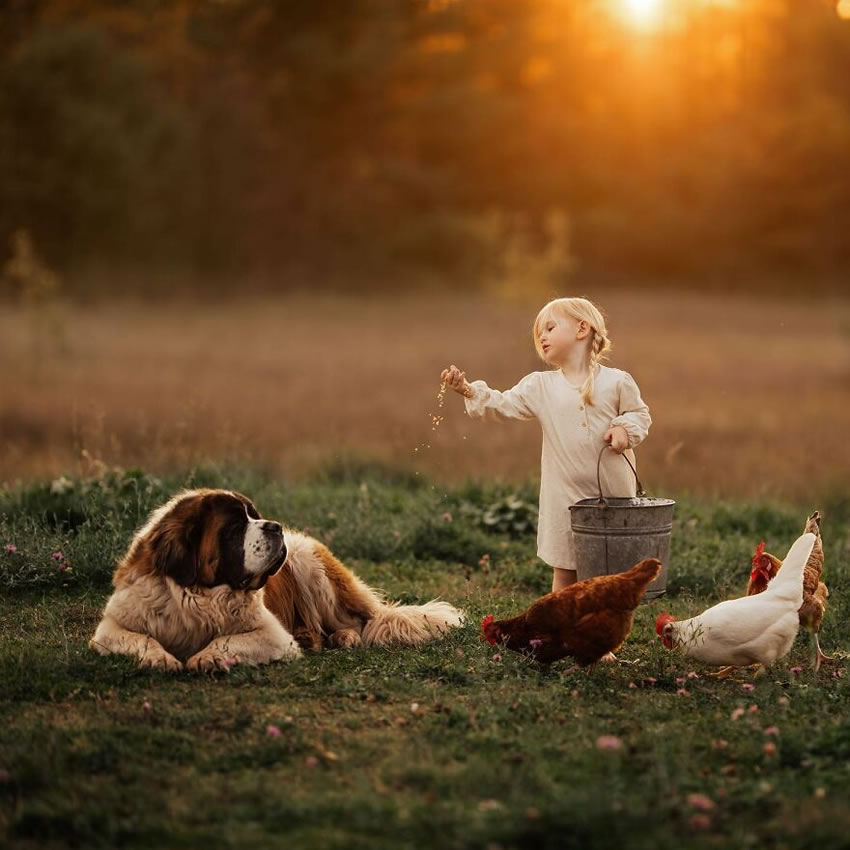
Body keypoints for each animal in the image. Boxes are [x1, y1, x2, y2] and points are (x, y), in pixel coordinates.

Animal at [89, 490, 464, 668]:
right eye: (234, 528)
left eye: (255, 515)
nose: (275, 526)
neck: (199, 595)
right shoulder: (109, 628)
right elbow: (139, 638)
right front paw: (159, 657)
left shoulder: (273, 635)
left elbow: (228, 641)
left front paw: (206, 657)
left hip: (307, 561)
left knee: (360, 620)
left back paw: (345, 637)